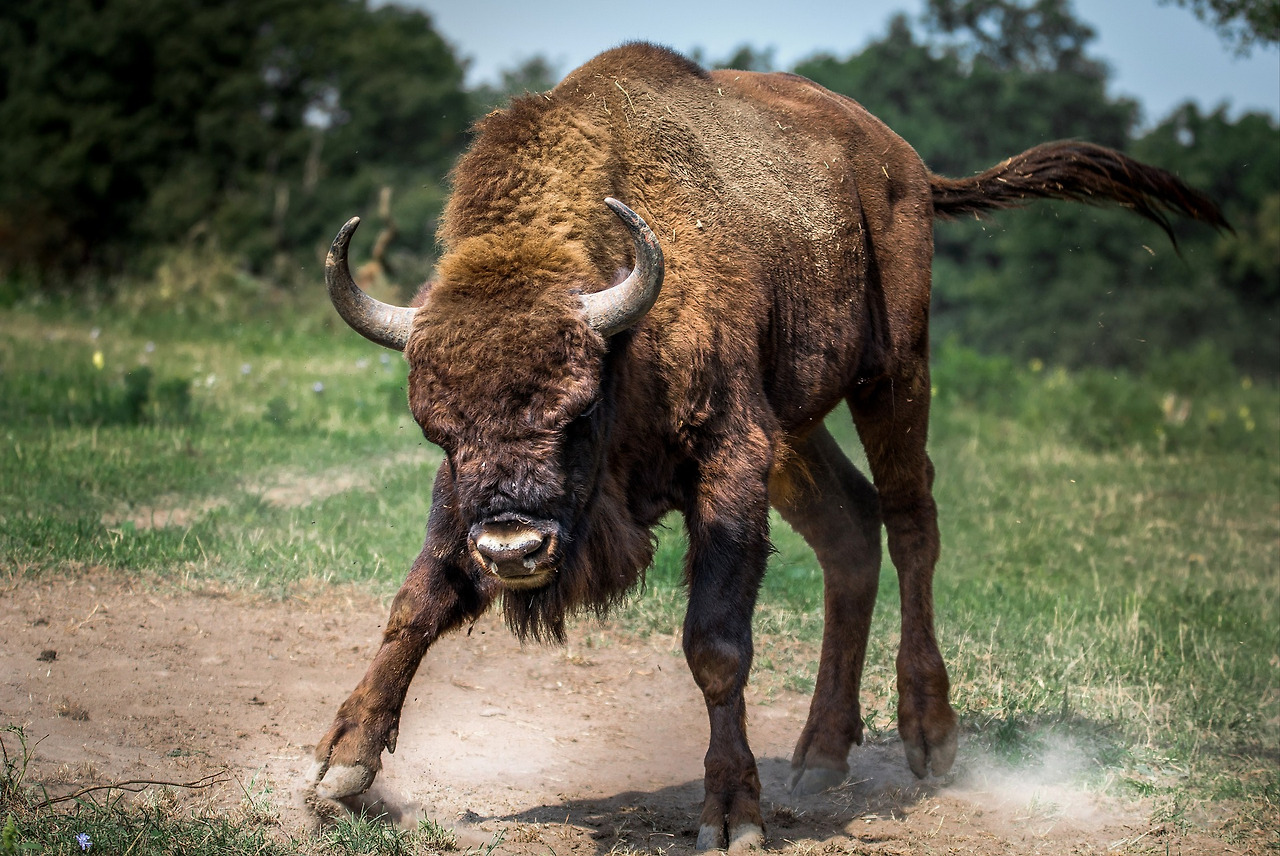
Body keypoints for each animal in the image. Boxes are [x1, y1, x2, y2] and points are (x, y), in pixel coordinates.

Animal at [309, 43, 1224, 849]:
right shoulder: (471, 500)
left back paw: (929, 737)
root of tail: (905, 167)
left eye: (580, 408)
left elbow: (716, 645)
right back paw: (819, 757)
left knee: (910, 521)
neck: (627, 331)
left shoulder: (730, 460)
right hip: (798, 428)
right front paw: (339, 773)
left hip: (892, 374)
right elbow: (417, 600)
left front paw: (732, 816)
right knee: (850, 532)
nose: (512, 548)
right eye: (437, 427)